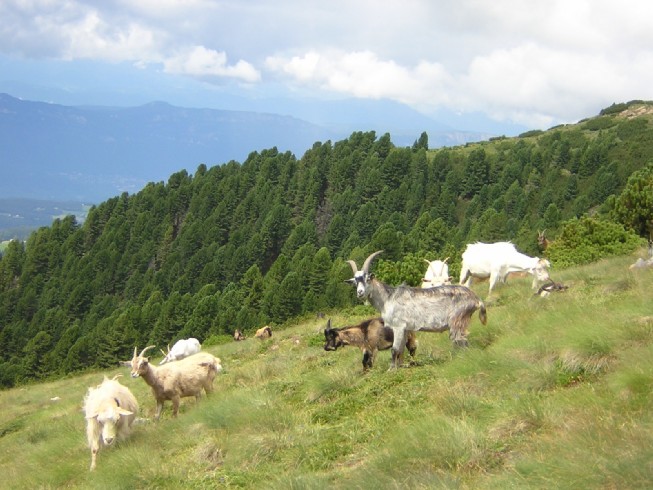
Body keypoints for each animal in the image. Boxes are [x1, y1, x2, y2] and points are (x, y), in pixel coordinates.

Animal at [346, 253, 484, 368]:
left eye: (368, 279)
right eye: (355, 282)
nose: (360, 293)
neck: (387, 298)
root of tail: (476, 299)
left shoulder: (398, 326)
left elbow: (394, 349)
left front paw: (391, 370)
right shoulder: (406, 329)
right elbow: (401, 350)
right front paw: (400, 367)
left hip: (457, 320)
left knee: (461, 341)